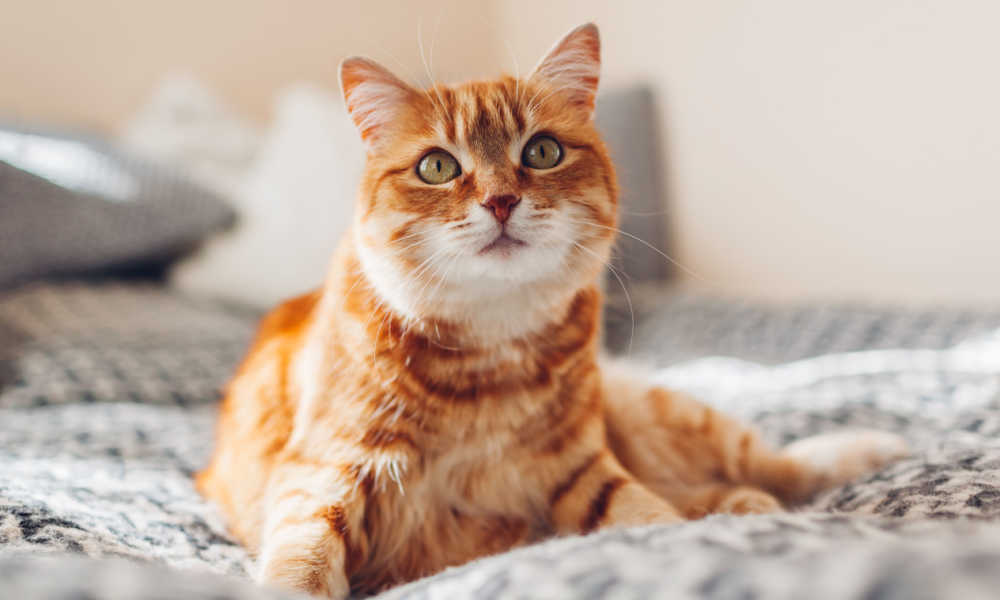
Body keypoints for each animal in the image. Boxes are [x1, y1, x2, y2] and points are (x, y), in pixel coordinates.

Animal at [195, 24, 908, 600]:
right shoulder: (323, 473)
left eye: (541, 152)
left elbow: (650, 518)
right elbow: (302, 557)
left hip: (657, 409)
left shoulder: (581, 471)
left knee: (772, 462)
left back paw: (854, 454)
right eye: (437, 166)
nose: (501, 200)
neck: (487, 354)